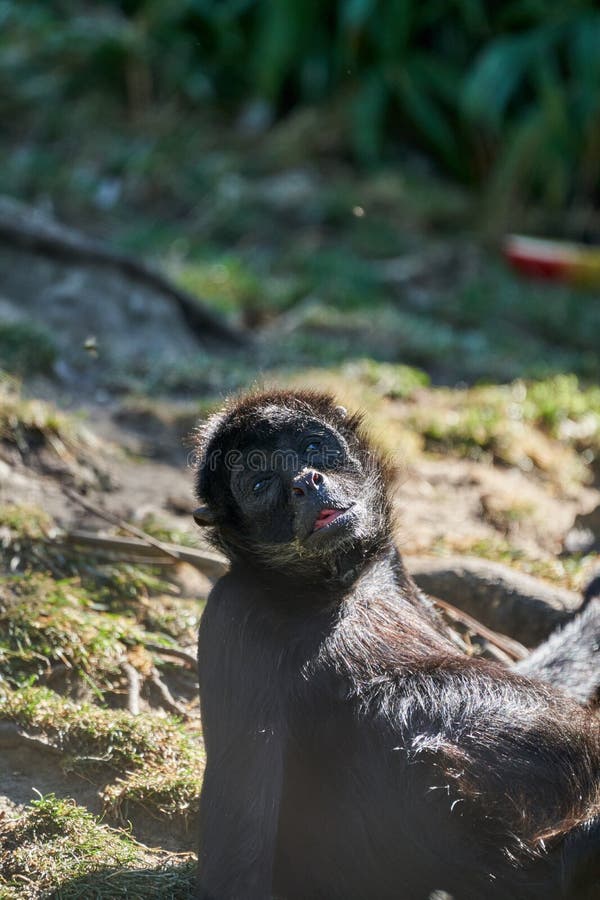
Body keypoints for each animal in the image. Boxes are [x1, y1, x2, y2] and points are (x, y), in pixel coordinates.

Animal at [193, 388, 600, 900]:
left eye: (311, 448)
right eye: (262, 483)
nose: (307, 482)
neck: (337, 588)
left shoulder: (392, 567)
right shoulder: (232, 611)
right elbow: (232, 868)